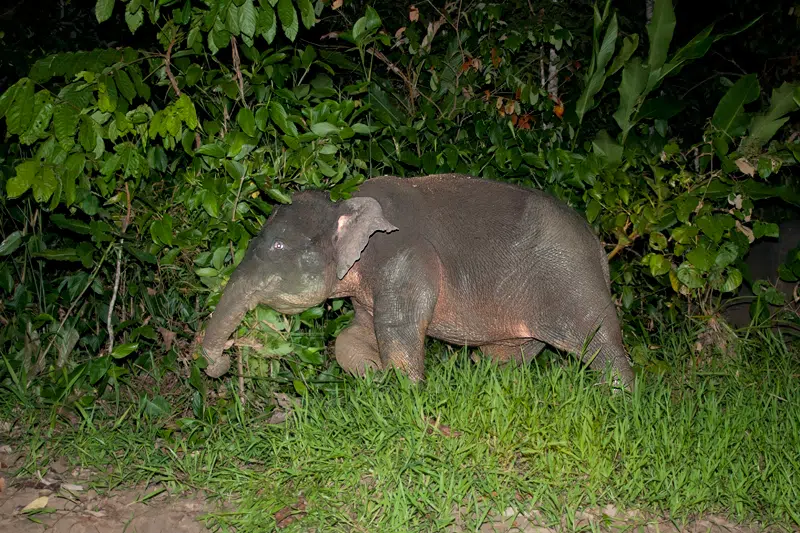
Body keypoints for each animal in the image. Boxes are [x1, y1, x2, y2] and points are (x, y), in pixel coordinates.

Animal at [200, 174, 635, 389]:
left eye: (276, 245)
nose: (221, 363)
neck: (348, 203)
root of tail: (599, 247)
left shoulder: (403, 257)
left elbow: (398, 330)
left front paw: (406, 393)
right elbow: (353, 335)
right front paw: (374, 376)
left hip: (570, 281)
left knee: (600, 345)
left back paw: (619, 401)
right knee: (512, 353)